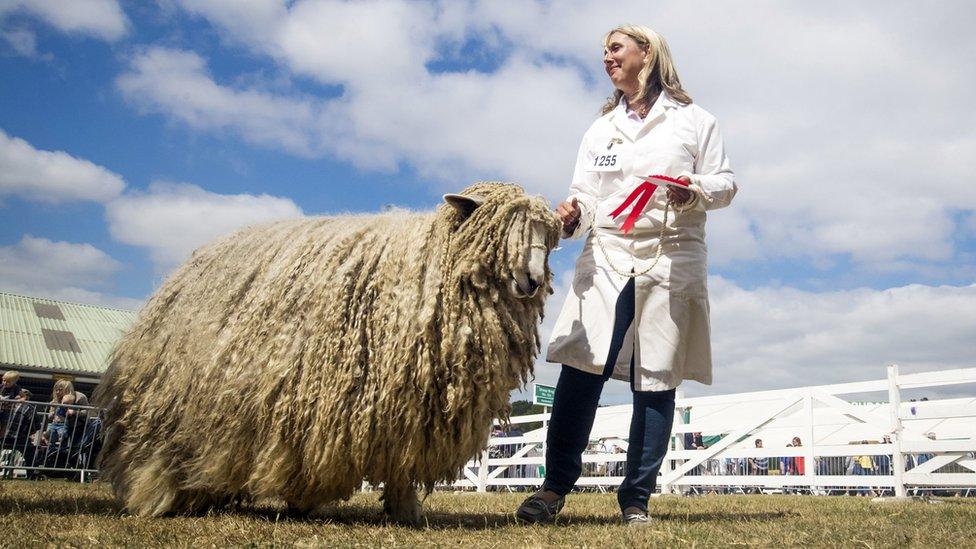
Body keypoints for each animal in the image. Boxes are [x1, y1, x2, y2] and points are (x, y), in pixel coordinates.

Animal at [97, 182, 564, 520]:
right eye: (500, 232)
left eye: (547, 236)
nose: (532, 281)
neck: (439, 264)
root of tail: (183, 269)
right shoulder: (383, 394)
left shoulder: (414, 405)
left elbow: (402, 461)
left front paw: (404, 509)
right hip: (177, 395)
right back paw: (154, 498)